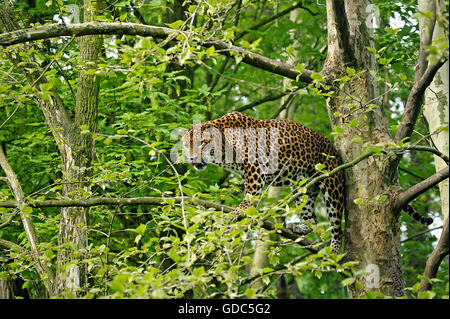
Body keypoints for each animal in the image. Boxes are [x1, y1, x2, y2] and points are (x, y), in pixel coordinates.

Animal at [180, 111, 432, 254]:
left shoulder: (254, 169)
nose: (191, 158)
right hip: (302, 188)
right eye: (185, 145)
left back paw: (334, 252)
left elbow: (249, 196)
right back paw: (299, 228)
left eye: (201, 143)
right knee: (312, 219)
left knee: (336, 225)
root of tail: (335, 151)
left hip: (332, 187)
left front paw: (238, 211)